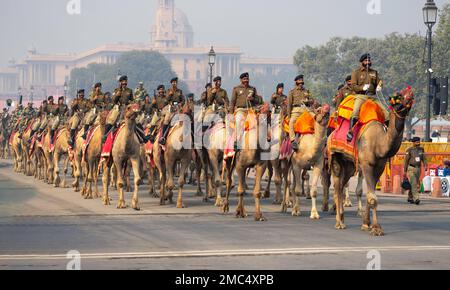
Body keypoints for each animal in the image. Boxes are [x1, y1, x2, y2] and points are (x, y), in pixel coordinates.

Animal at [330, 88, 414, 236]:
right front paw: (376, 228)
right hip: (336, 157)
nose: (410, 95)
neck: (379, 142)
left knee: (341, 184)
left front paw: (366, 224)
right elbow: (373, 197)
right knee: (337, 186)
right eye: (398, 98)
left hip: (350, 165)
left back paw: (342, 219)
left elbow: (371, 195)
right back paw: (339, 223)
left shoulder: (379, 167)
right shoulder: (366, 164)